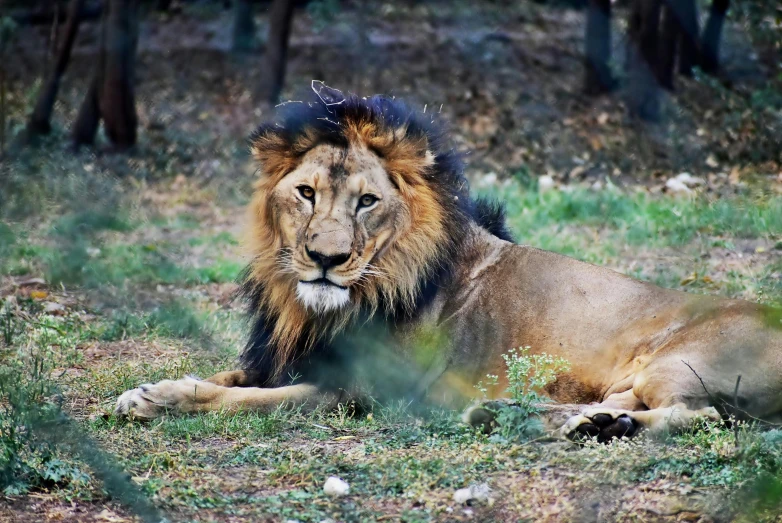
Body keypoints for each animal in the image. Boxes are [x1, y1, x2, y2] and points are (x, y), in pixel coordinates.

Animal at [116, 85, 782, 442]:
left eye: (367, 201)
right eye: (305, 193)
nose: (326, 259)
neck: (321, 309)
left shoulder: (360, 394)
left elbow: (247, 401)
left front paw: (165, 402)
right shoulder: (280, 358)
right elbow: (226, 378)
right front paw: (148, 394)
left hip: (672, 365)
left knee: (699, 415)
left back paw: (601, 428)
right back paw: (533, 417)